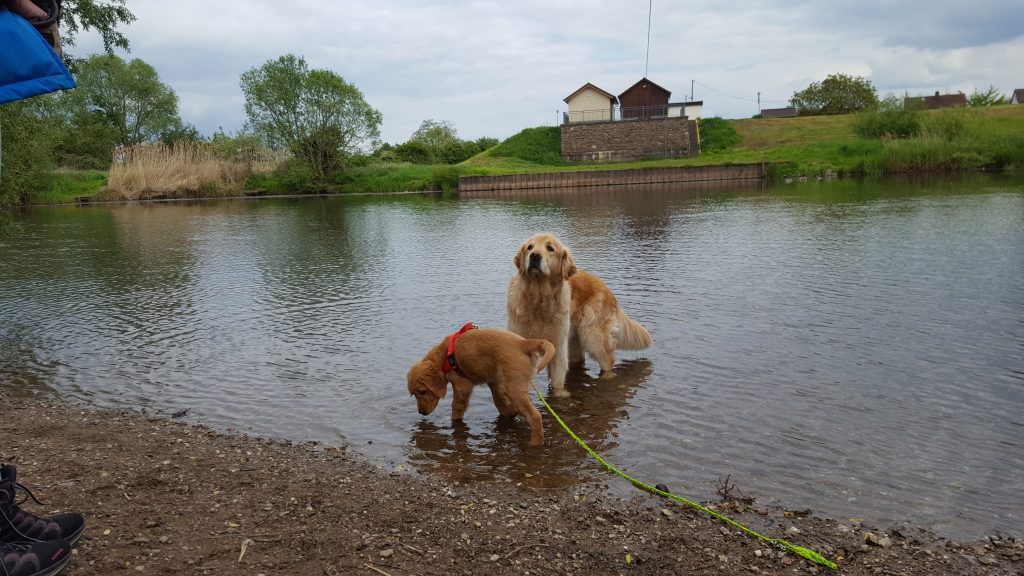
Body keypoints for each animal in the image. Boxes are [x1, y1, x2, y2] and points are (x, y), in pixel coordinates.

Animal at [405, 323, 557, 444]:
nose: (421, 412)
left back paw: (535, 443)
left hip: (512, 388)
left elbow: (456, 409)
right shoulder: (493, 382)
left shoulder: (462, 386)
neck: (445, 358)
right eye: (414, 394)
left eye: (422, 391)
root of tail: (523, 343)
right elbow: (499, 403)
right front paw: (509, 412)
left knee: (535, 416)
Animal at [507, 230, 651, 391]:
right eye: (529, 247)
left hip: (593, 337)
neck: (538, 300)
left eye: (550, 248)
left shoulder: (557, 346)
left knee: (608, 362)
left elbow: (557, 381)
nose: (535, 256)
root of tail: (606, 288)